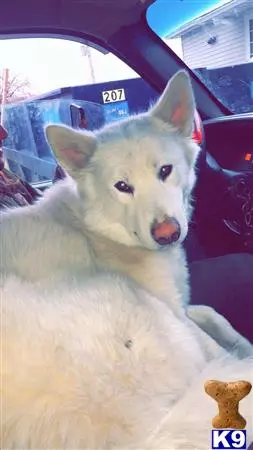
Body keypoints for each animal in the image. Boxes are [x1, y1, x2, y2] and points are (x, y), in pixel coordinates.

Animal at [0, 70, 253, 446]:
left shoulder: (181, 303)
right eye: (122, 186)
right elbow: (212, 332)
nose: (167, 234)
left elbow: (211, 312)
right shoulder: (170, 309)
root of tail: (145, 436)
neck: (98, 229)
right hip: (131, 302)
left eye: (165, 170)